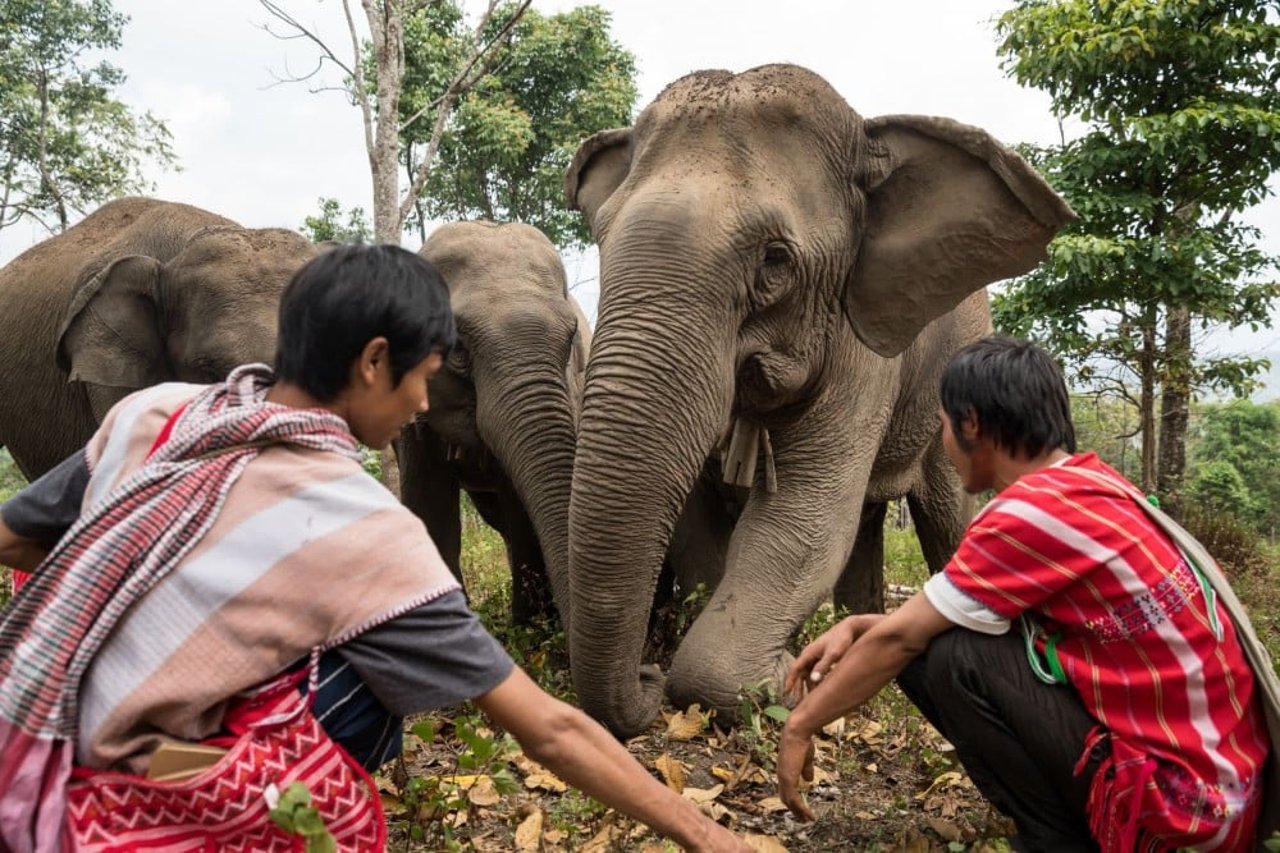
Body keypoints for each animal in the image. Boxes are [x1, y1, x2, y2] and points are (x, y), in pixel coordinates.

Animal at [565, 63, 1075, 732]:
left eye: (776, 260)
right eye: (601, 238)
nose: (645, 677)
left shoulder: (864, 350)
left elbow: (806, 515)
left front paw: (787, 675)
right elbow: (704, 523)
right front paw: (785, 660)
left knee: (943, 516)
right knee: (866, 520)